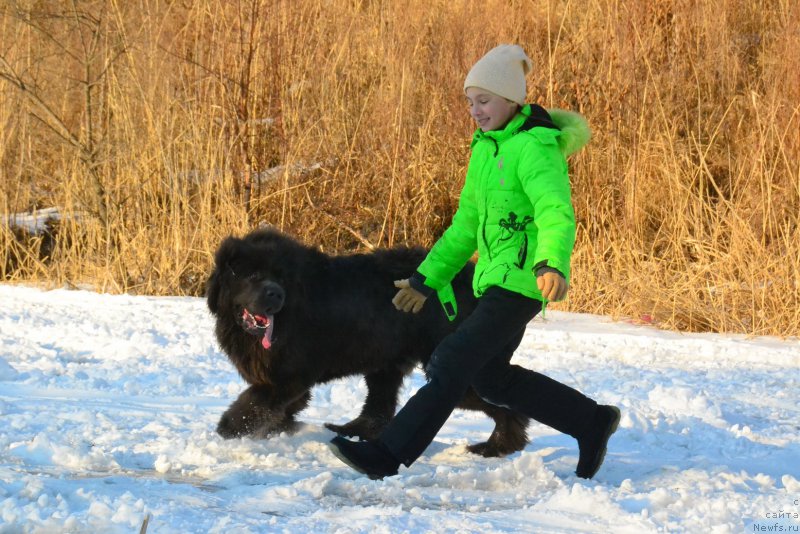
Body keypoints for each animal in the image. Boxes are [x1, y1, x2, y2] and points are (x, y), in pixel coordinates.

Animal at [206, 228, 532, 458]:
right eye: (253, 275)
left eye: (281, 278)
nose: (275, 294)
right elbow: (279, 405)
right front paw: (280, 428)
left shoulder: (287, 376)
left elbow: (251, 404)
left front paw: (230, 430)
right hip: (387, 363)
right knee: (378, 407)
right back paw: (351, 431)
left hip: (453, 366)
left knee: (505, 406)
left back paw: (497, 447)